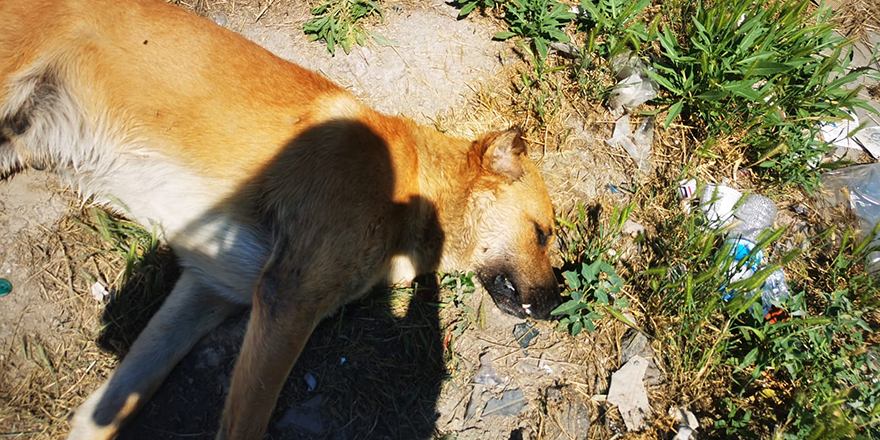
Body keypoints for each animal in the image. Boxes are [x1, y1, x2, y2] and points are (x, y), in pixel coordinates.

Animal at [0, 0, 564, 438]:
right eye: (542, 234)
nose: (559, 303)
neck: (414, 184)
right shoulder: (288, 299)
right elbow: (247, 418)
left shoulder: (208, 290)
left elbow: (118, 399)